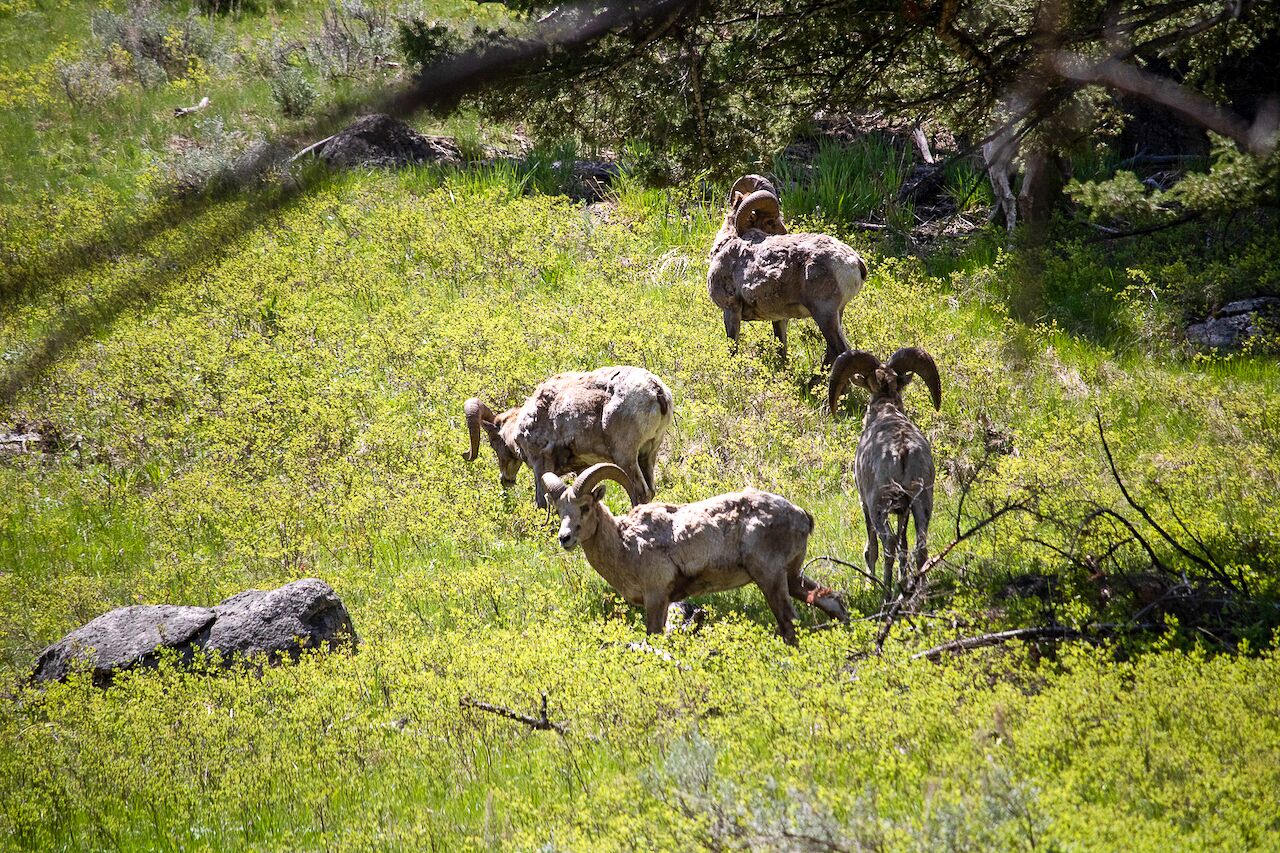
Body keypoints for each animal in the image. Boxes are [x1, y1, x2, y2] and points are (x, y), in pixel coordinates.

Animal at [462, 366, 673, 509]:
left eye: (493, 444)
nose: (505, 480)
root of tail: (657, 392)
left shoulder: (540, 463)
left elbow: (542, 501)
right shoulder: (582, 467)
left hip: (625, 456)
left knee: (641, 492)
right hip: (648, 454)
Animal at [541, 463, 849, 644]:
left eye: (585, 507)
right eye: (560, 510)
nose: (565, 538)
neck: (625, 544)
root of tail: (801, 516)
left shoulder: (656, 598)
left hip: (770, 578)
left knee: (788, 622)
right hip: (792, 577)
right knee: (832, 601)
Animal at [707, 174, 869, 366]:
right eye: (770, 221)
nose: (785, 233)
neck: (726, 244)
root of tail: (855, 261)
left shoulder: (731, 310)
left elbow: (733, 349)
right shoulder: (779, 318)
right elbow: (781, 348)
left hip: (824, 313)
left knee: (839, 350)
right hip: (837, 313)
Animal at [828, 347, 942, 596]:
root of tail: (902, 450)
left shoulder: (865, 502)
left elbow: (872, 549)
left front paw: (869, 585)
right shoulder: (904, 509)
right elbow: (904, 546)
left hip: (879, 505)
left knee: (887, 543)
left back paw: (886, 594)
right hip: (922, 501)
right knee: (920, 546)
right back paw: (917, 592)